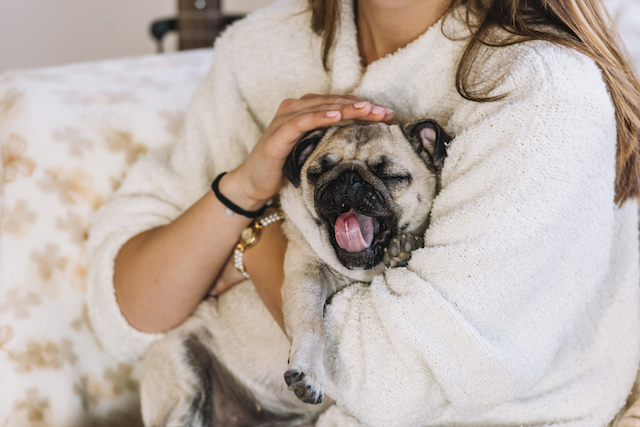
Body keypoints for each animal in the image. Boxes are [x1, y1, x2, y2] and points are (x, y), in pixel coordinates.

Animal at [140, 118, 450, 426]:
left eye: (390, 175)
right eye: (318, 172)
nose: (348, 179)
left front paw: (403, 250)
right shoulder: (306, 276)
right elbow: (311, 325)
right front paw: (309, 371)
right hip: (181, 369)